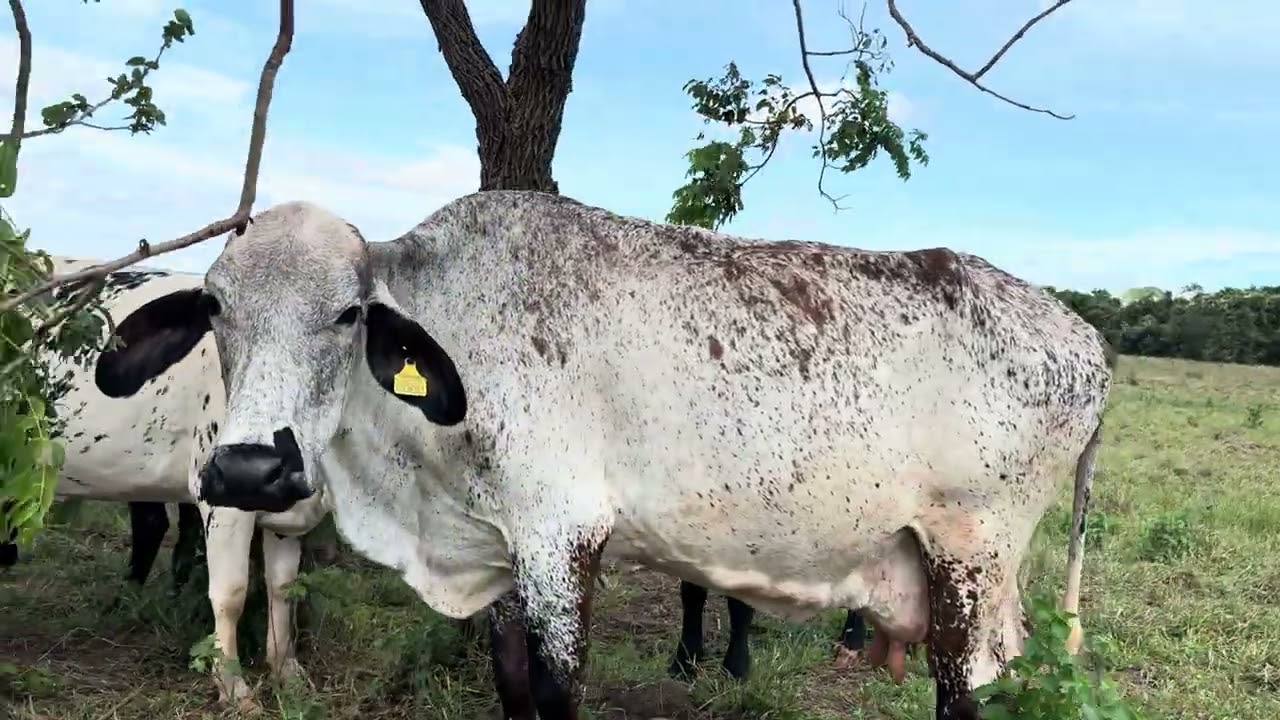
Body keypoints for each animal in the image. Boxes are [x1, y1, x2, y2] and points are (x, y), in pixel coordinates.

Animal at [96, 193, 1109, 720]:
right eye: (216, 306)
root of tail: (1086, 338)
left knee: (962, 693)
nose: (249, 471)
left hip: (969, 555)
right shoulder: (502, 547)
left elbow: (556, 690)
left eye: (347, 313)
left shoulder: (562, 538)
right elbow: (510, 684)